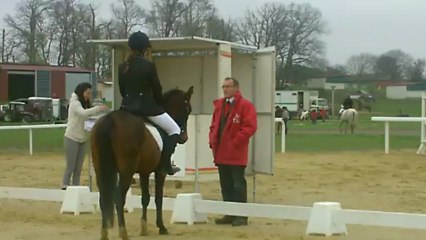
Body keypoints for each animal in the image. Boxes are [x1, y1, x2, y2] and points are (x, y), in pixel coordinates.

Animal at [91, 86, 195, 240]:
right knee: (119, 198)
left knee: (104, 198)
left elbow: (145, 198)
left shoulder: (144, 171)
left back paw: (104, 233)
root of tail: (111, 120)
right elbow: (158, 198)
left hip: (100, 170)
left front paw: (144, 227)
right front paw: (161, 227)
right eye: (187, 110)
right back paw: (123, 232)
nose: (184, 138)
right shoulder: (160, 172)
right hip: (126, 172)